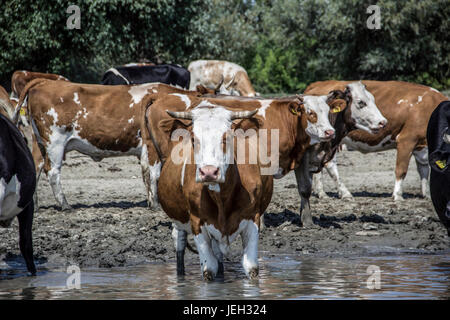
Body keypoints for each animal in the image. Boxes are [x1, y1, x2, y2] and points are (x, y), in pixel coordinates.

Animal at [14, 79, 207, 210]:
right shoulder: (152, 147)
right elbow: (153, 173)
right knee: (53, 171)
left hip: (40, 143)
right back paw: (65, 205)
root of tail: (44, 82)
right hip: (55, 142)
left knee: (35, 166)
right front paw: (156, 204)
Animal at [148, 96, 274, 278]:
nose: (209, 172)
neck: (222, 198)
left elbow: (251, 267)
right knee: (179, 245)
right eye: (194, 139)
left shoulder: (253, 217)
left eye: (227, 137)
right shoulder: (197, 222)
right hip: (178, 222)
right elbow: (209, 269)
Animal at [304, 80, 448, 200]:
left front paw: (427, 194)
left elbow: (424, 169)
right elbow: (401, 169)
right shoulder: (406, 140)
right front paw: (397, 195)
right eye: (360, 103)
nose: (382, 122)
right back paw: (344, 193)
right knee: (330, 164)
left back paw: (321, 193)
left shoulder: (421, 146)